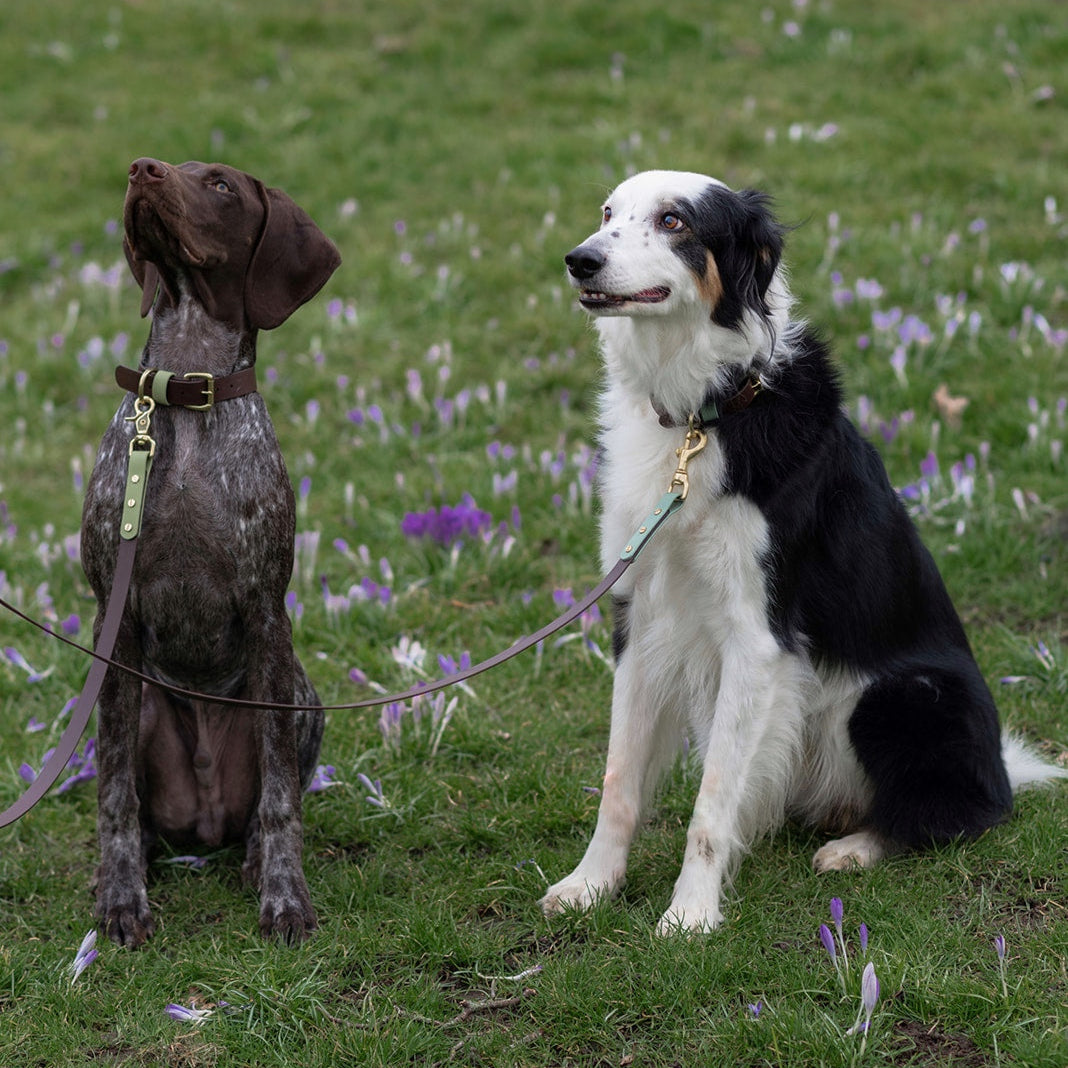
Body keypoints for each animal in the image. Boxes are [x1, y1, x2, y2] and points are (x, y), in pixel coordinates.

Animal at [83, 155, 341, 944]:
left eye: (221, 183)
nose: (141, 168)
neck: (185, 387)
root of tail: (203, 816)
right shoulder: (115, 622)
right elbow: (115, 798)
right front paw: (122, 898)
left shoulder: (265, 614)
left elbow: (282, 797)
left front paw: (285, 898)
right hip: (136, 703)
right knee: (134, 802)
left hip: (299, 697)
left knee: (265, 803)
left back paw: (253, 857)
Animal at [546, 170, 1063, 931]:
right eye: (608, 213)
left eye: (674, 221)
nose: (579, 260)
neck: (703, 414)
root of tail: (1001, 766)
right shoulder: (639, 615)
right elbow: (620, 778)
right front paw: (590, 884)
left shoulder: (758, 636)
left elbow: (711, 802)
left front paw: (689, 916)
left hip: (900, 696)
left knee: (956, 815)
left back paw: (855, 848)